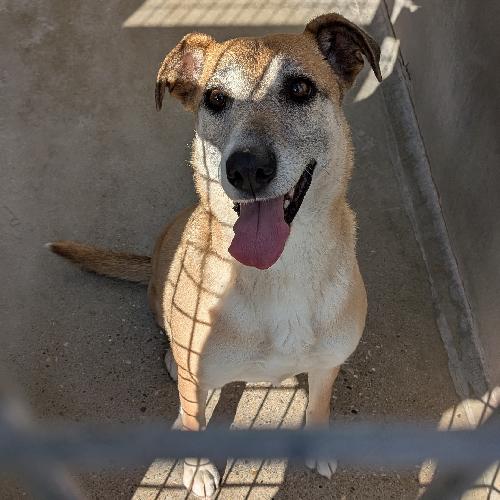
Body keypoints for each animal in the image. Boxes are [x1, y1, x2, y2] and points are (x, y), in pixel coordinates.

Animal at [49, 12, 381, 498]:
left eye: (300, 89)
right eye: (216, 99)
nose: (247, 167)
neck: (278, 272)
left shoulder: (327, 365)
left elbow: (318, 406)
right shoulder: (198, 375)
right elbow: (194, 418)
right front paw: (198, 466)